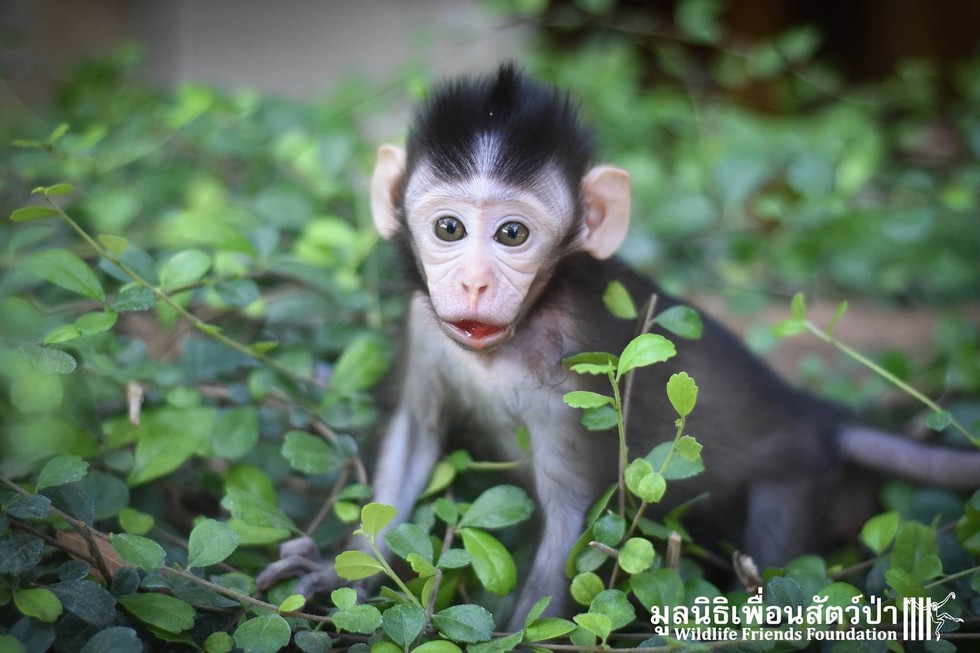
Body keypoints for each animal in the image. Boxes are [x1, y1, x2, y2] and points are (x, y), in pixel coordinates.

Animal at [260, 63, 980, 624]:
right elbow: (413, 434)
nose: (472, 282)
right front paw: (343, 572)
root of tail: (814, 417)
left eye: (513, 235)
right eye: (448, 227)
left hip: (795, 488)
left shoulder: (577, 368)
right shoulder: (422, 321)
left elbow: (571, 523)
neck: (519, 330)